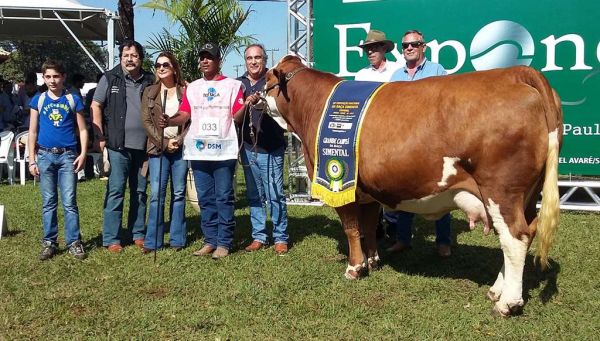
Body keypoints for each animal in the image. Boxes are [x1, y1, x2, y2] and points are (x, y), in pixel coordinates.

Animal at [262, 55, 564, 316]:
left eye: (266, 78)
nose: (256, 96)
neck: (314, 106)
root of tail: (518, 73)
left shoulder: (342, 186)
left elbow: (351, 229)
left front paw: (354, 268)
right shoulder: (367, 191)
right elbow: (368, 226)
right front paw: (373, 261)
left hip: (501, 190)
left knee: (514, 237)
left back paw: (507, 303)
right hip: (527, 194)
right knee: (525, 233)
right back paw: (496, 290)